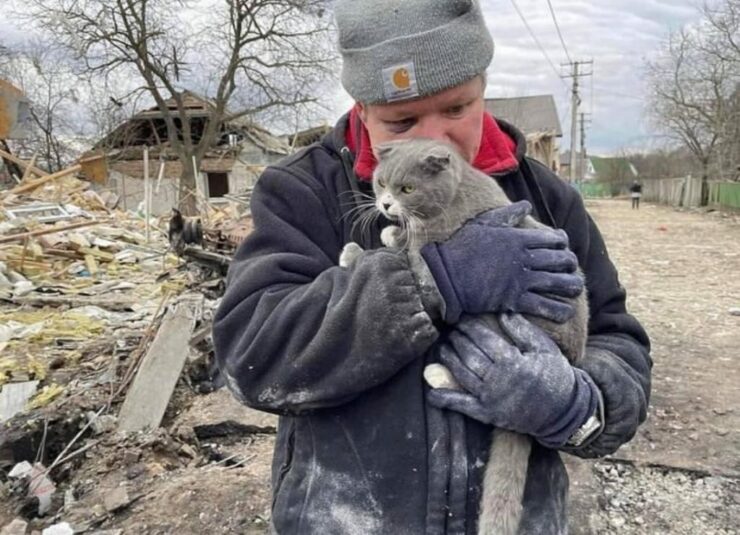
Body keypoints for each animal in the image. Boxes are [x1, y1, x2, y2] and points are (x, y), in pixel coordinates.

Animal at [338, 139, 588, 535]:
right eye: (381, 183)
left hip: (502, 319)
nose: (386, 205)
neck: (452, 197)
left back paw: (440, 374)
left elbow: (411, 263)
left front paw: (357, 251)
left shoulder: (432, 252)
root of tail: (567, 357)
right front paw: (386, 234)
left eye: (407, 188)